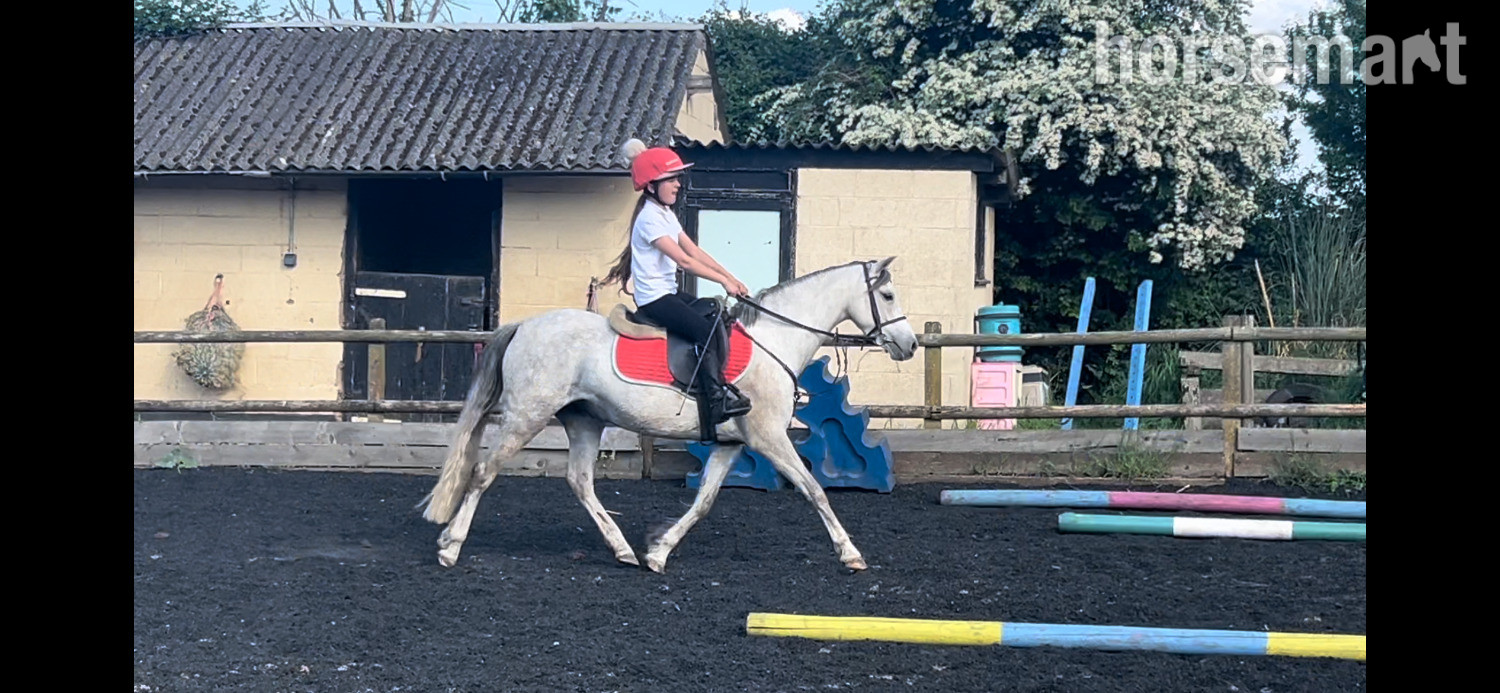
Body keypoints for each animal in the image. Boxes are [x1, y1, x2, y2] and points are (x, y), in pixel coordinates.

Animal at [416, 256, 919, 573]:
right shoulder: (769, 439)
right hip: (527, 415)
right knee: (484, 472)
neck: (773, 340)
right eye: (888, 295)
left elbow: (704, 503)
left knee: (580, 481)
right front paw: (850, 554)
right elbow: (815, 490)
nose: (910, 345)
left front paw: (659, 552)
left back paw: (623, 550)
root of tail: (524, 325)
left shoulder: (731, 445)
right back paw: (450, 547)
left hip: (585, 420)